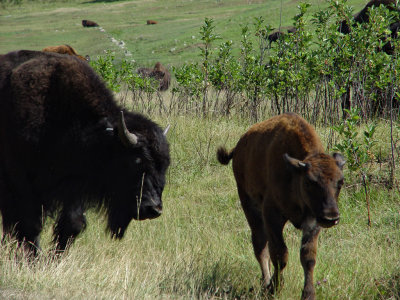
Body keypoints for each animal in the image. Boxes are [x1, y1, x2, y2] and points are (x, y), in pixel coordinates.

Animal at [0, 49, 170, 255]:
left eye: (164, 166)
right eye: (137, 161)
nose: (154, 209)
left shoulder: (75, 187)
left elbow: (73, 224)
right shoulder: (22, 184)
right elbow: (30, 227)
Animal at [217, 112, 346, 300]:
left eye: (340, 182)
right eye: (309, 181)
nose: (331, 217)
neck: (295, 173)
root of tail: (240, 146)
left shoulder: (313, 222)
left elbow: (308, 257)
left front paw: (308, 294)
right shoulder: (272, 215)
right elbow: (280, 254)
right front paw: (274, 289)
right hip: (249, 205)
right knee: (260, 246)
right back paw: (265, 282)